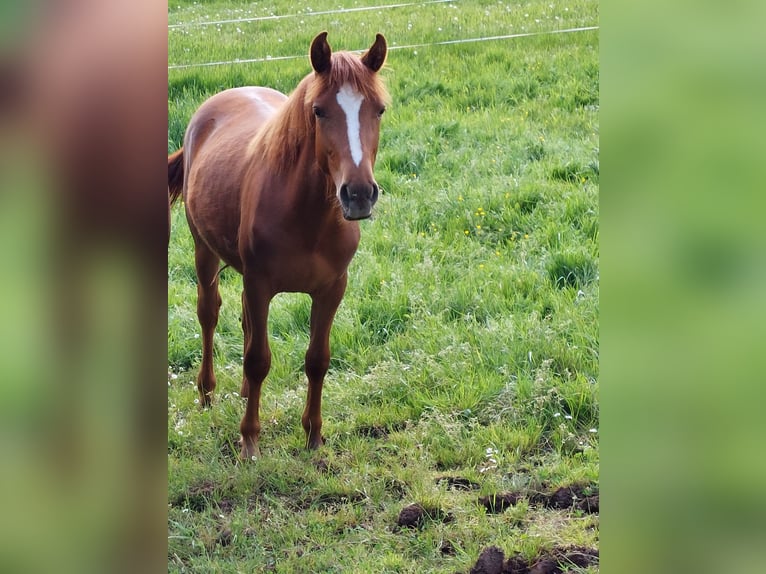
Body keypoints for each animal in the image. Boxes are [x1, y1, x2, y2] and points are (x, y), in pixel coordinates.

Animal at [167, 33, 390, 462]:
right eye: (318, 111)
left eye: (379, 110)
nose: (358, 194)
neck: (307, 216)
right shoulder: (260, 284)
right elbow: (258, 360)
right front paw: (249, 440)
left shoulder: (332, 288)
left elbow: (317, 360)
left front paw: (314, 436)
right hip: (204, 251)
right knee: (209, 314)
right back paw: (207, 392)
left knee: (243, 321)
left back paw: (240, 392)